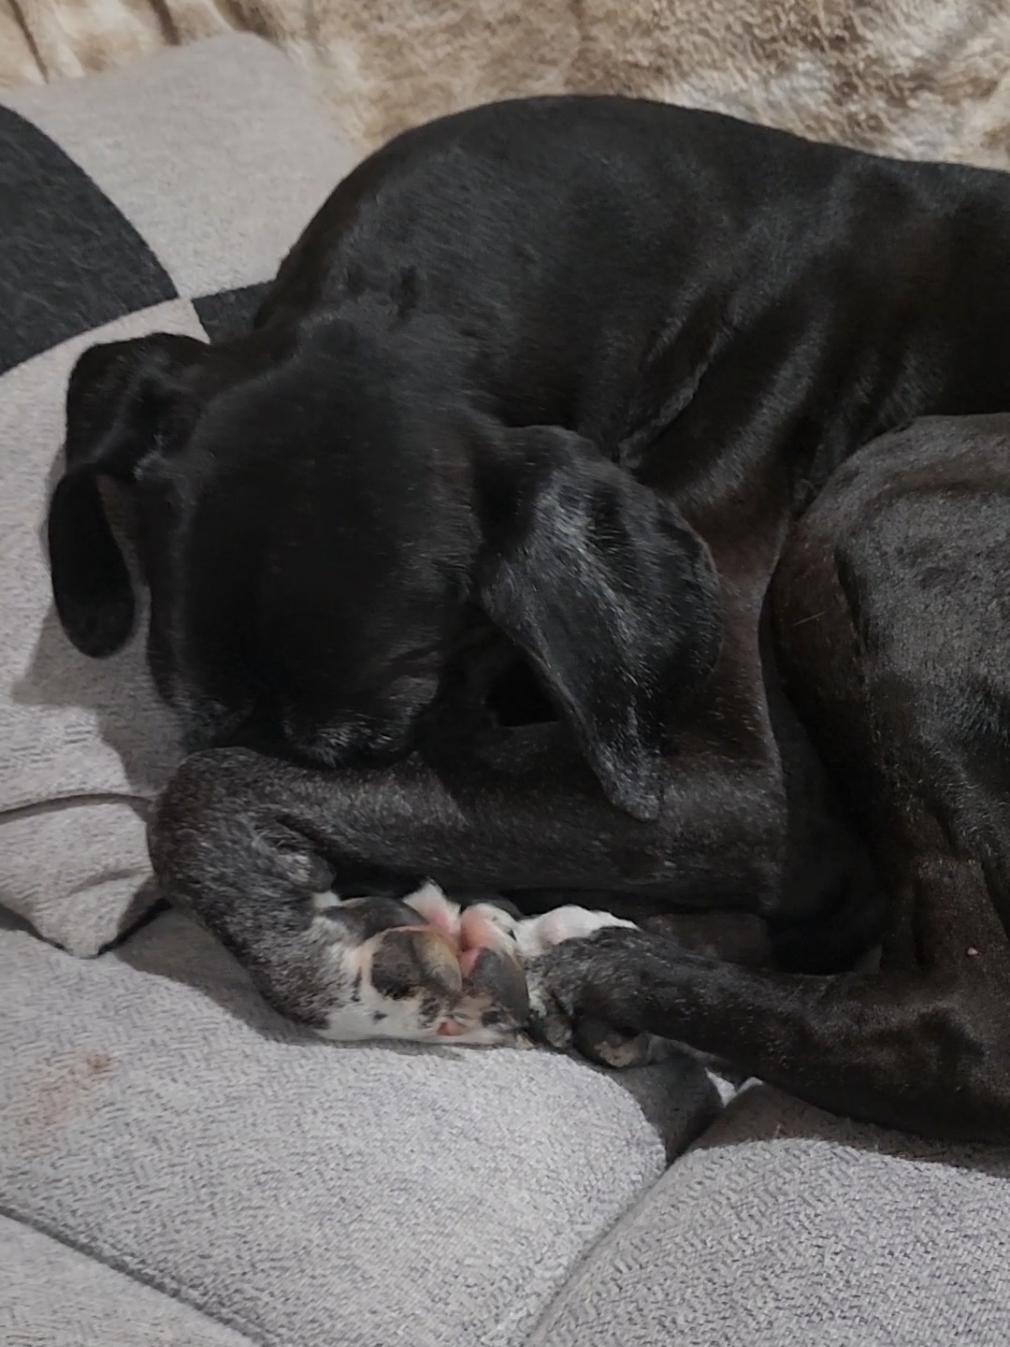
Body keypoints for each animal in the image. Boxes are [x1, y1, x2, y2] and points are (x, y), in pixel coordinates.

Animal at [49, 99, 1010, 1142]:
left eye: (375, 738)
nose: (324, 876)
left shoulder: (740, 795)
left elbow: (207, 791)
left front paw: (345, 964)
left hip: (881, 499)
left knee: (967, 1026)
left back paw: (605, 972)